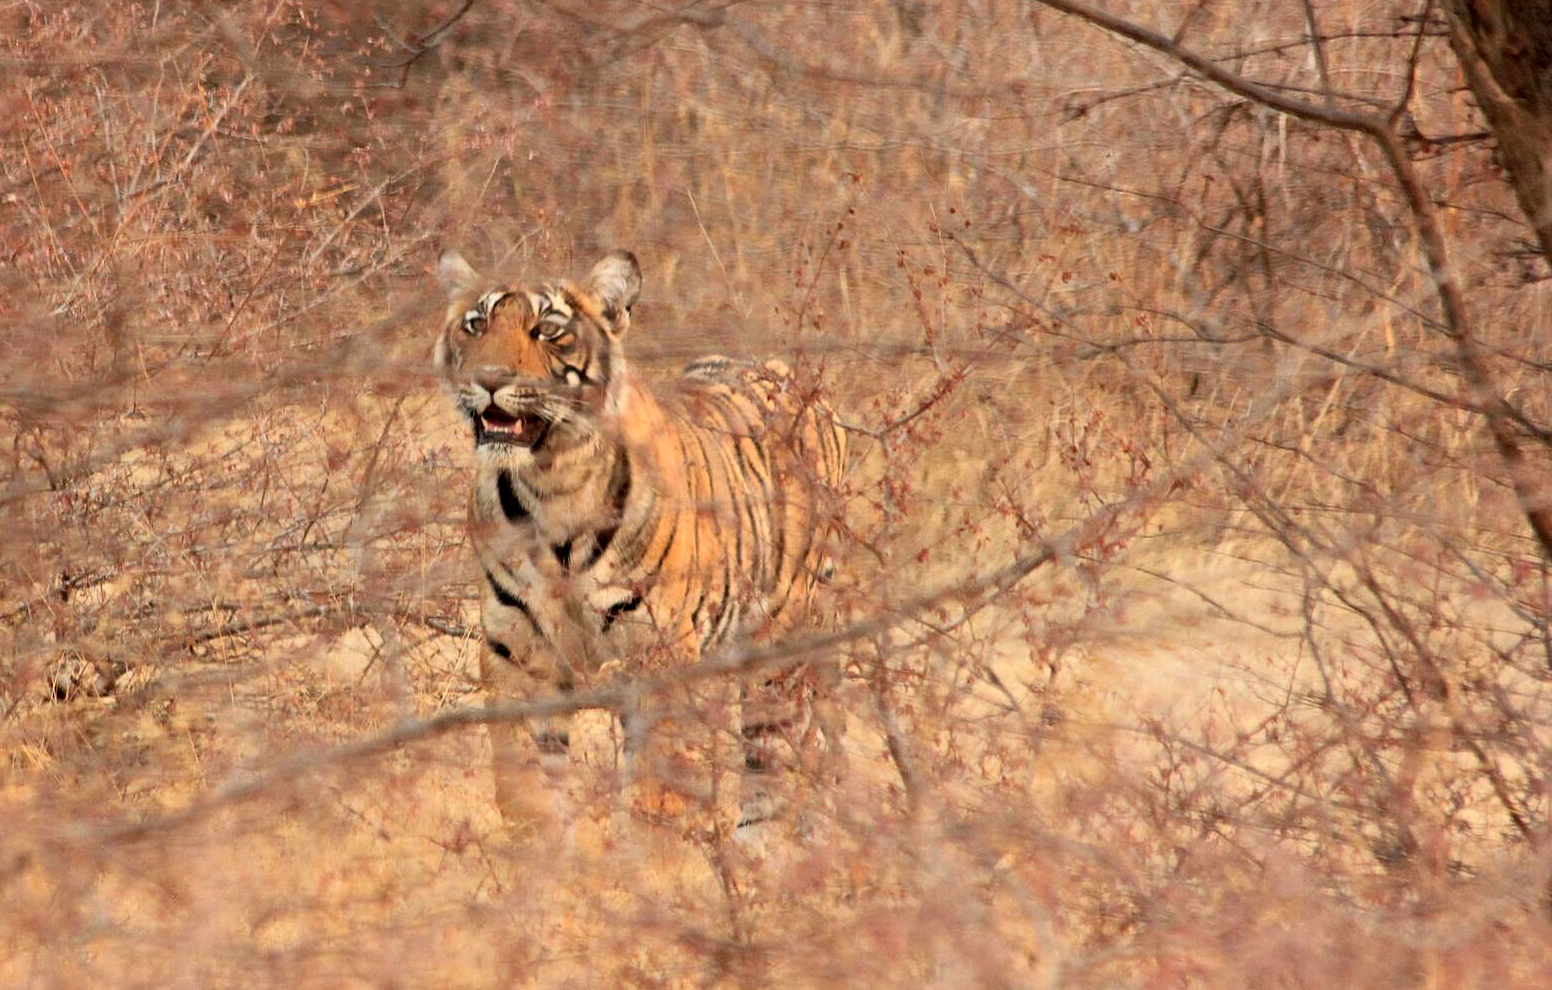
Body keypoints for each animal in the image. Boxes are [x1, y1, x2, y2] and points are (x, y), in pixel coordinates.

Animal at [433, 248, 848, 837]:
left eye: (547, 330)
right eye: (476, 325)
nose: (488, 378)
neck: (551, 483)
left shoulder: (661, 659)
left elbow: (658, 794)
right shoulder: (518, 652)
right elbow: (525, 788)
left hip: (781, 645)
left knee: (774, 763)